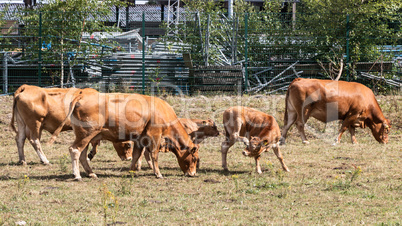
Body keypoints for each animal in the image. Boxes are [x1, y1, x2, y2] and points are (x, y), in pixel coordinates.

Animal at [50, 90, 199, 180]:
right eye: (195, 159)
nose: (193, 174)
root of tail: (83, 95)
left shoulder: (140, 139)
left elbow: (136, 155)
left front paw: (132, 171)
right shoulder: (154, 136)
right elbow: (154, 155)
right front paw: (158, 174)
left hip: (85, 135)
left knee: (82, 154)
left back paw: (91, 173)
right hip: (86, 134)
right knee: (75, 150)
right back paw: (77, 175)